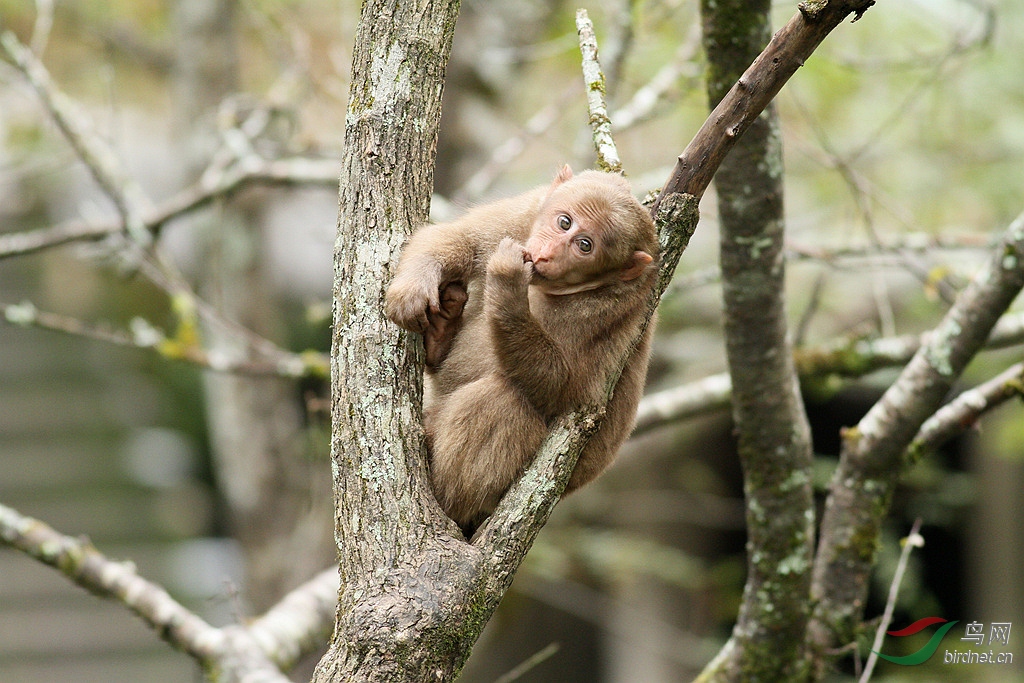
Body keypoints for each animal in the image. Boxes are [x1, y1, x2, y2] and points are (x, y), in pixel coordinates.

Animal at [385, 166, 655, 532]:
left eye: (585, 246)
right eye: (565, 222)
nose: (549, 252)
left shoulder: (606, 311)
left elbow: (563, 389)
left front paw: (508, 281)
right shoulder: (523, 214)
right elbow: (460, 239)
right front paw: (413, 286)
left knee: (504, 398)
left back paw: (447, 500)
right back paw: (442, 332)